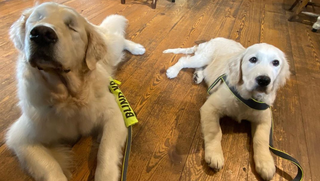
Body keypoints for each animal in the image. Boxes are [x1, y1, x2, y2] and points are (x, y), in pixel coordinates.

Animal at [5, 1, 145, 181]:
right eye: (37, 19)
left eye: (71, 26)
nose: (41, 33)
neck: (68, 97)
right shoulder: (21, 137)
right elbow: (50, 167)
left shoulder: (114, 116)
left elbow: (105, 152)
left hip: (111, 49)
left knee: (119, 39)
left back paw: (137, 48)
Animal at [164, 37, 292, 180]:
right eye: (253, 59)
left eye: (276, 63)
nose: (264, 80)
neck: (248, 98)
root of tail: (211, 40)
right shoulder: (210, 107)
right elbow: (214, 131)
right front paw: (214, 155)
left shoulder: (264, 118)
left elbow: (261, 139)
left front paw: (266, 163)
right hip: (203, 57)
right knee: (185, 60)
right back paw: (173, 71)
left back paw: (198, 75)